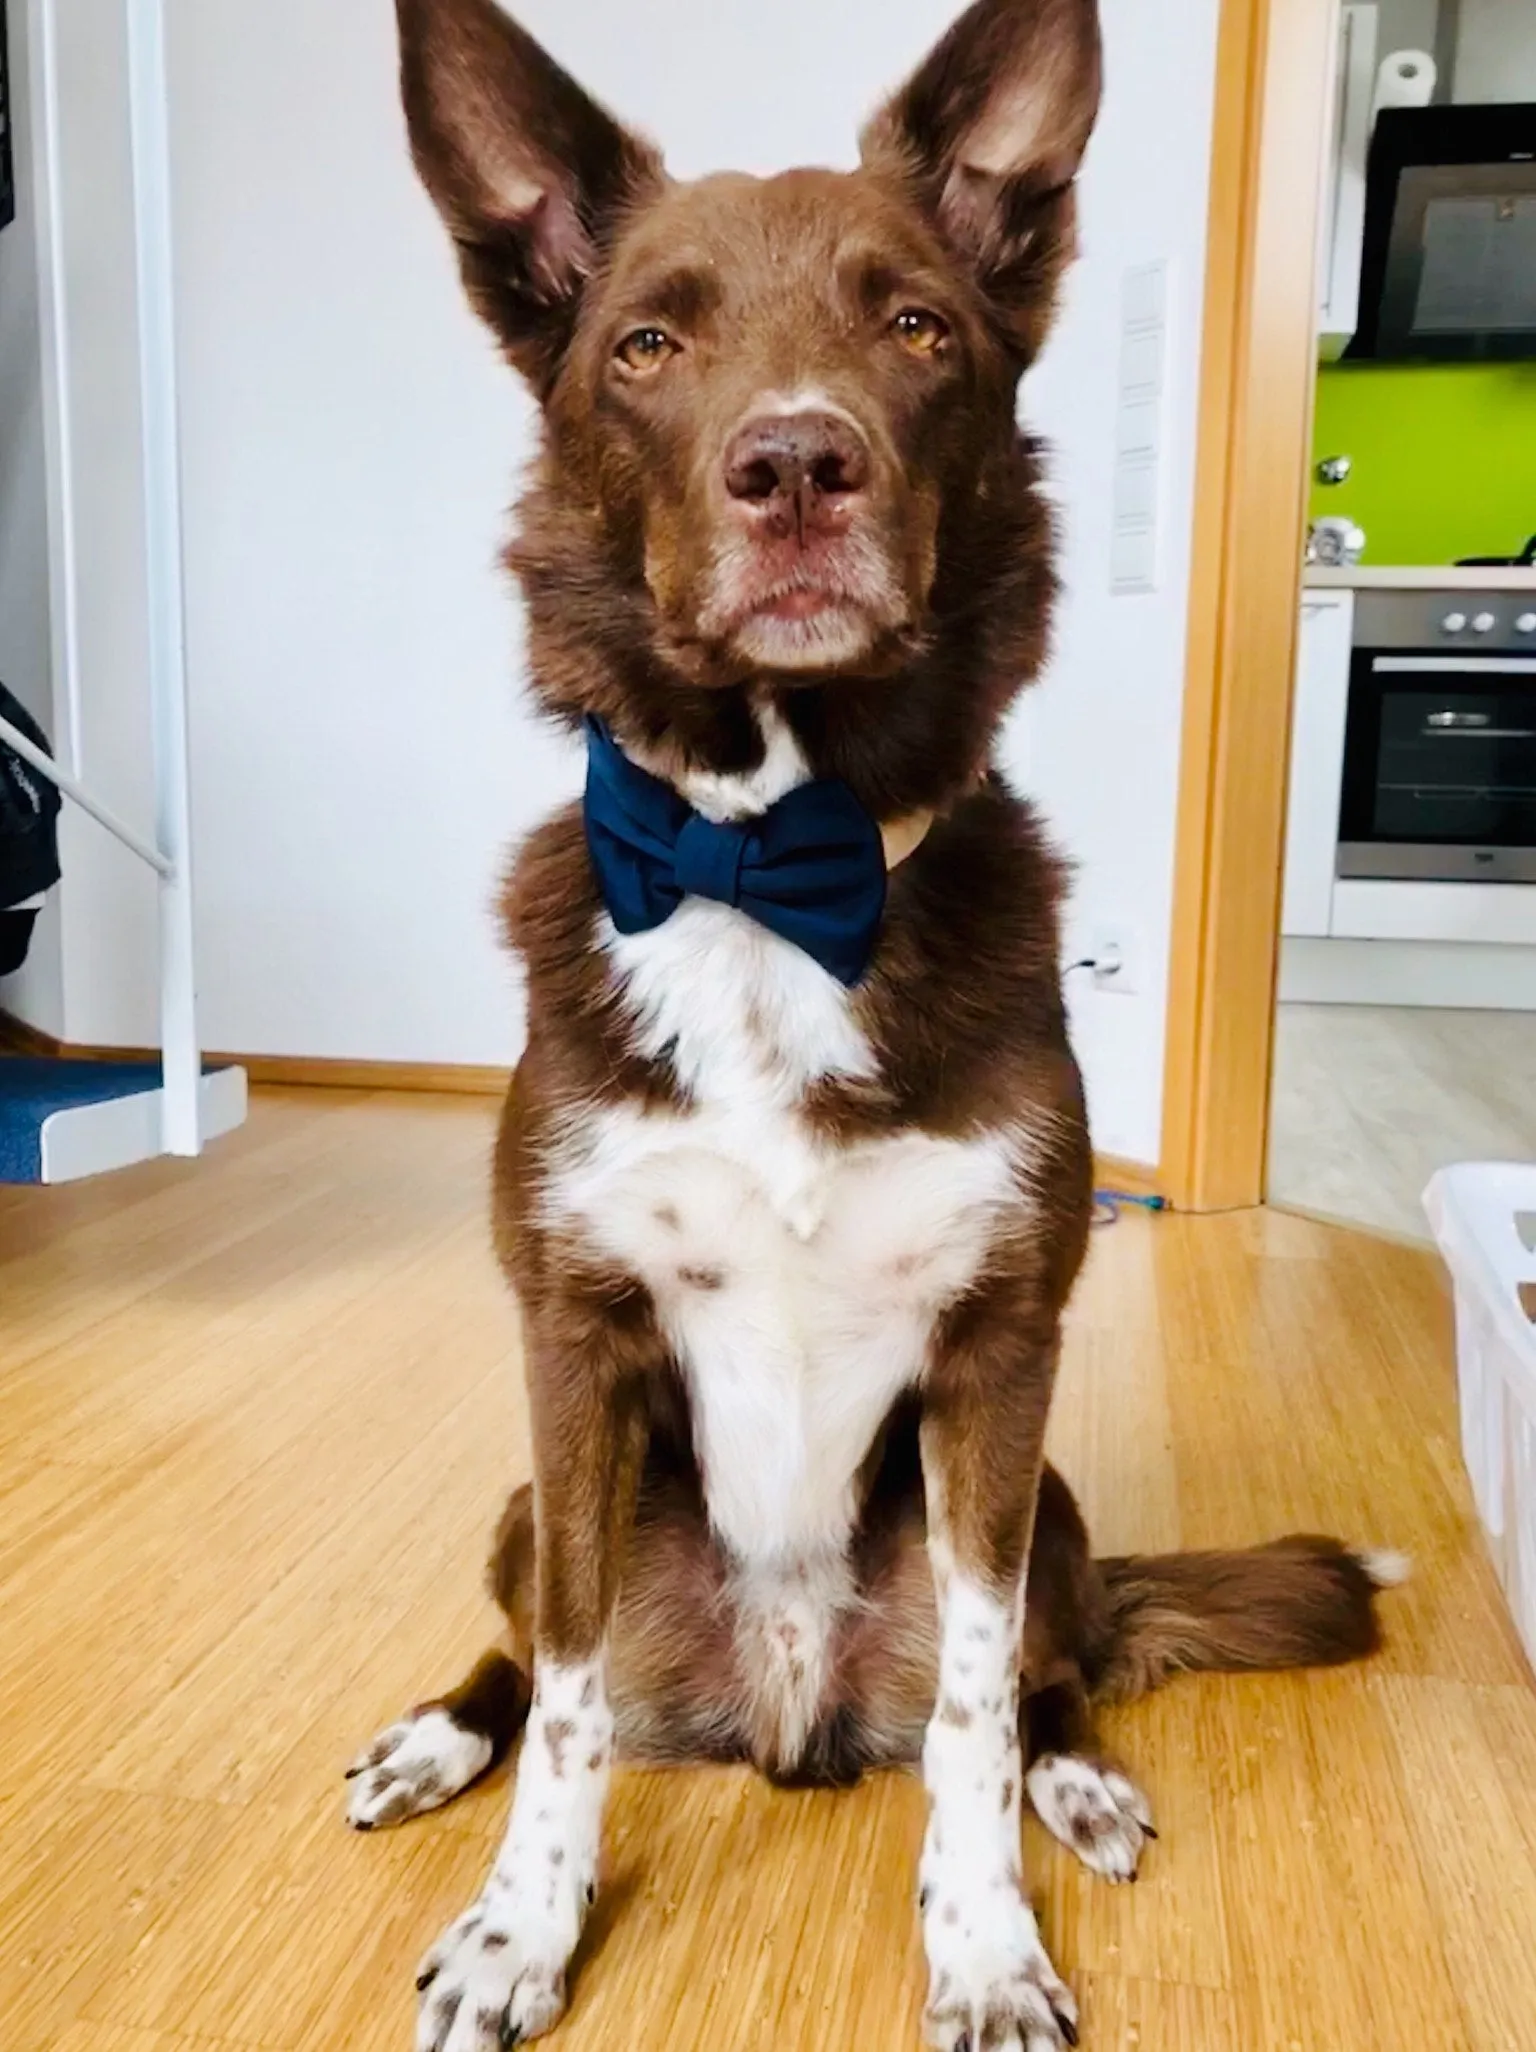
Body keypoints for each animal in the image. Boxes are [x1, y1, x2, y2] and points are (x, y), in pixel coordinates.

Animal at [350, 4, 1402, 2052]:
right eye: (646, 346)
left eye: (914, 325)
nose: (795, 466)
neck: (771, 863)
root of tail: (780, 1703)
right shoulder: (572, 1343)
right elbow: (571, 1703)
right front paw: (521, 1925)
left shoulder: (1001, 1352)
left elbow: (981, 1706)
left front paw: (986, 1944)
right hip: (533, 1495)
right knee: (533, 1649)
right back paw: (436, 1735)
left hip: (1046, 1500)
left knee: (1042, 1673)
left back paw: (1079, 1778)